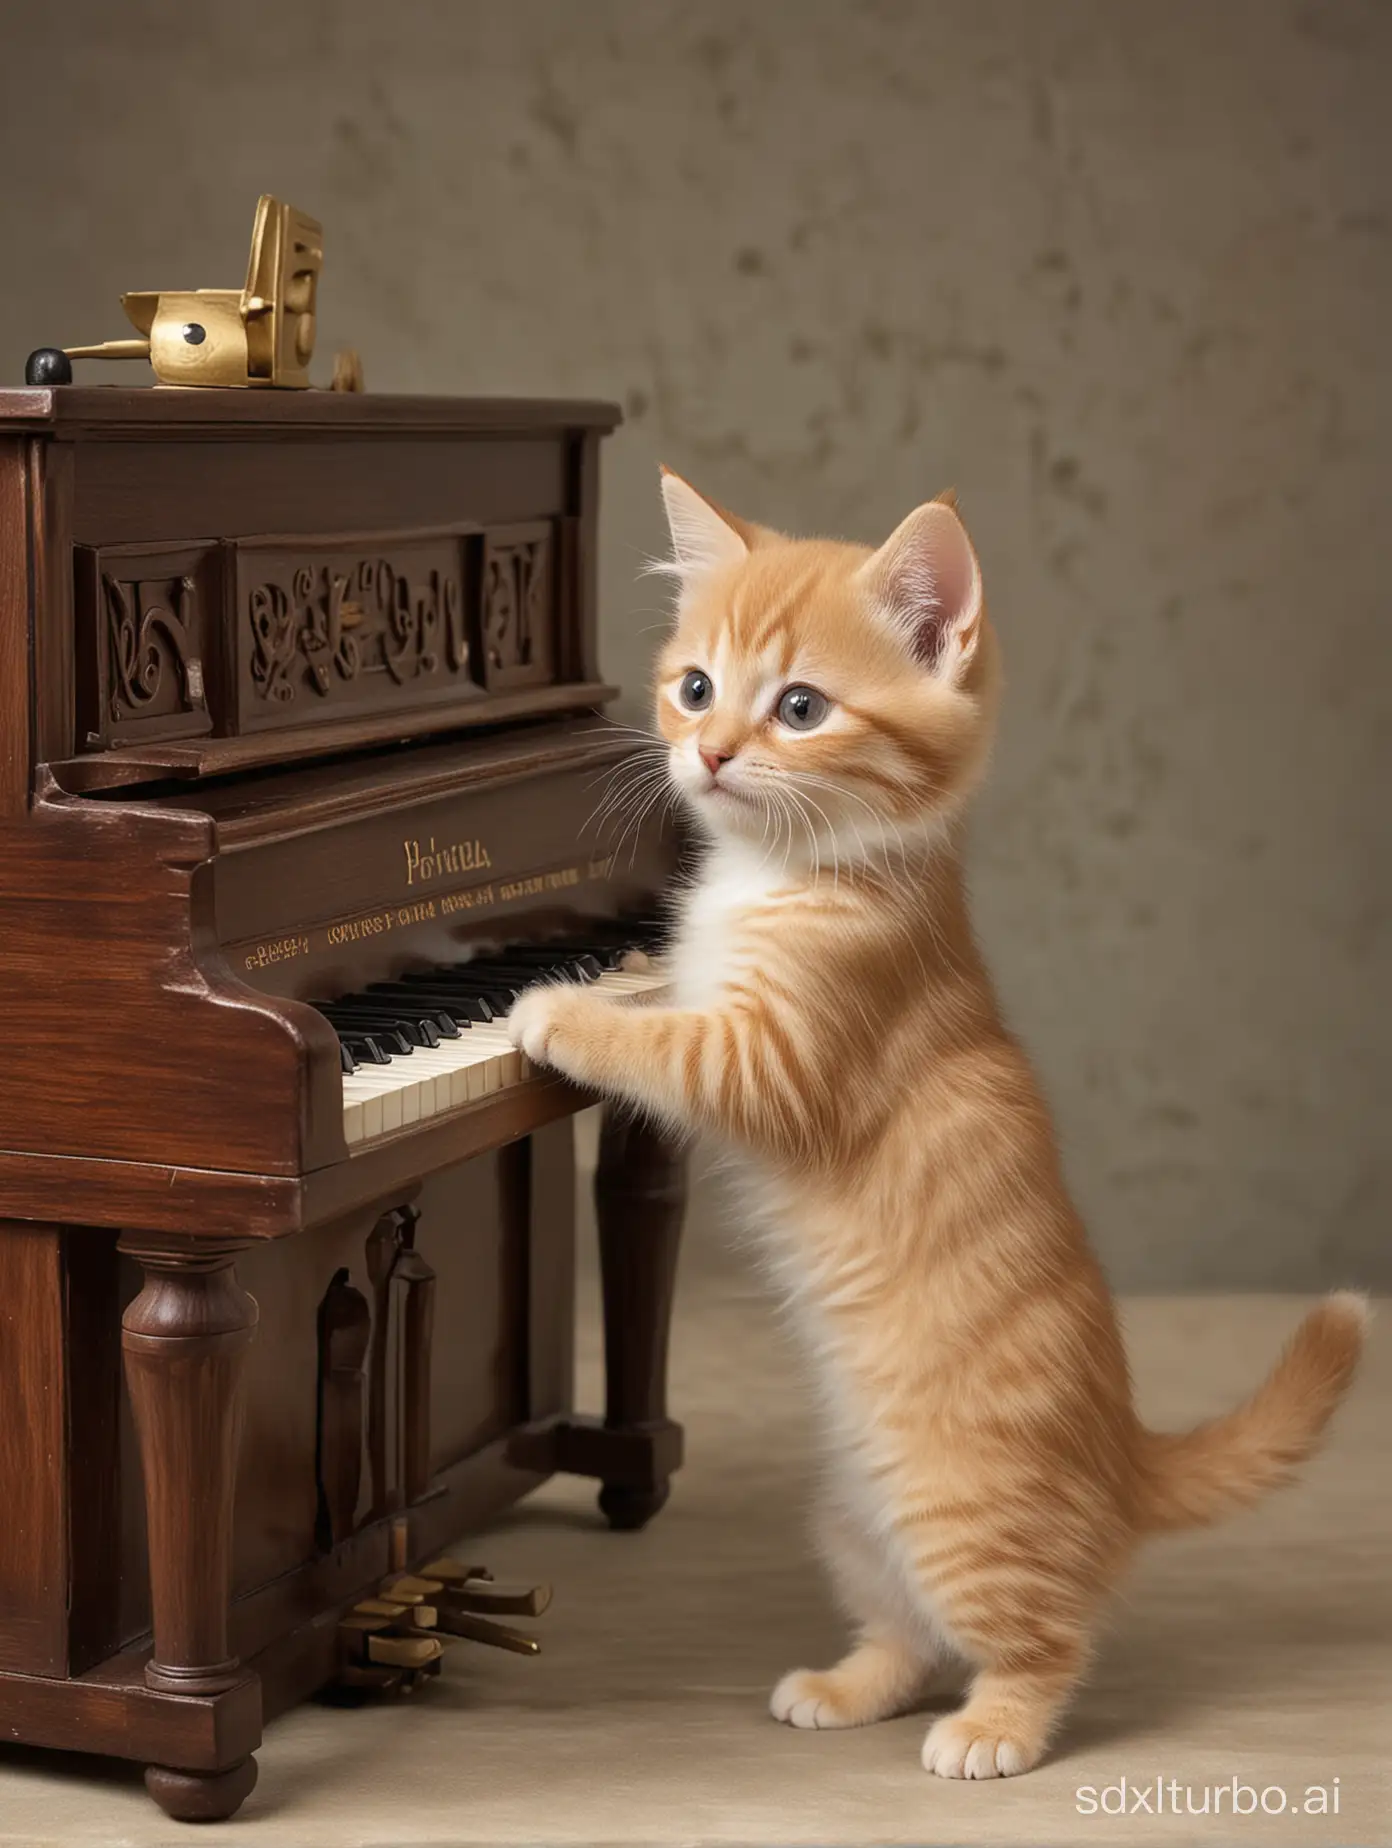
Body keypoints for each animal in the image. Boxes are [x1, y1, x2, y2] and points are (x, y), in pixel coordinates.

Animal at [506, 473, 1360, 1774]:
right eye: (695, 687)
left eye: (800, 707)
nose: (707, 753)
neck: (780, 871)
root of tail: (1122, 1453)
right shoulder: (710, 984)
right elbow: (658, 992)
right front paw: (586, 983)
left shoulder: (777, 1053)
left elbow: (665, 1047)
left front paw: (552, 1013)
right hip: (851, 1515)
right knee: (906, 1633)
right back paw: (845, 1685)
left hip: (962, 1511)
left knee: (1041, 1638)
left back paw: (994, 1730)